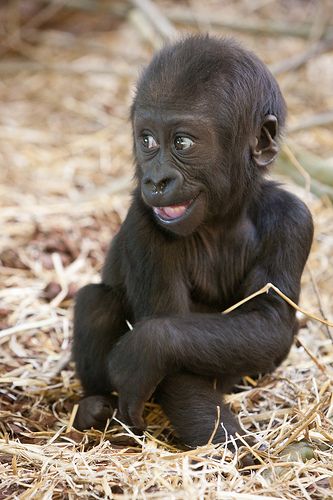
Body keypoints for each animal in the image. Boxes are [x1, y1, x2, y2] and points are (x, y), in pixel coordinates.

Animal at [71, 36, 312, 450]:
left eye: (182, 142)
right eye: (147, 140)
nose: (156, 180)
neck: (223, 216)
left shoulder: (294, 220)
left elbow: (269, 320)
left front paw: (146, 348)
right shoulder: (143, 223)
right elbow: (175, 363)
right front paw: (233, 446)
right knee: (96, 303)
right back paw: (93, 407)